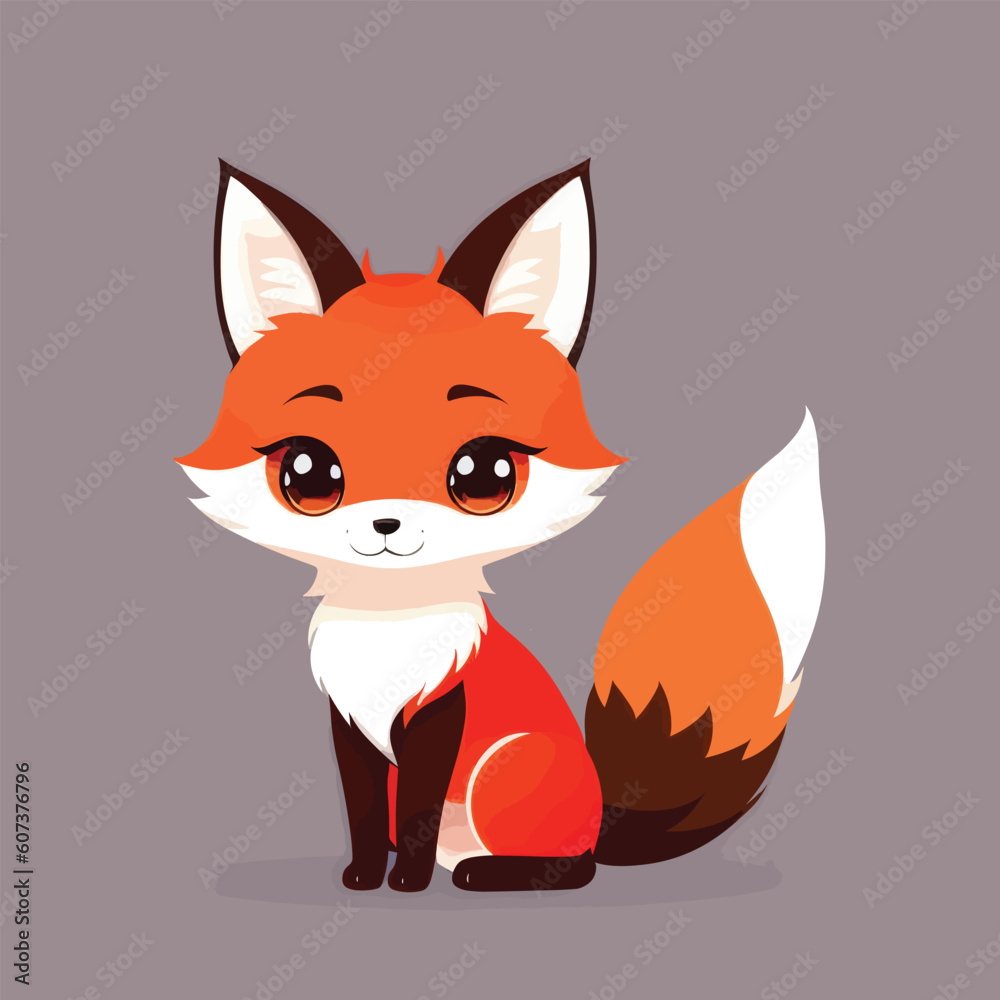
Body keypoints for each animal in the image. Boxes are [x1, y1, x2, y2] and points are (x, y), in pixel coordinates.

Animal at [178, 159, 825, 893]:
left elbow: (423, 806)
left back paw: (483, 875)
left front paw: (408, 884)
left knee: (575, 868)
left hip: (505, 768)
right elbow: (364, 813)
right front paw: (366, 876)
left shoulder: (439, 718)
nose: (386, 524)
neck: (388, 631)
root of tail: (603, 815)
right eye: (308, 471)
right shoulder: (351, 728)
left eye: (482, 473)